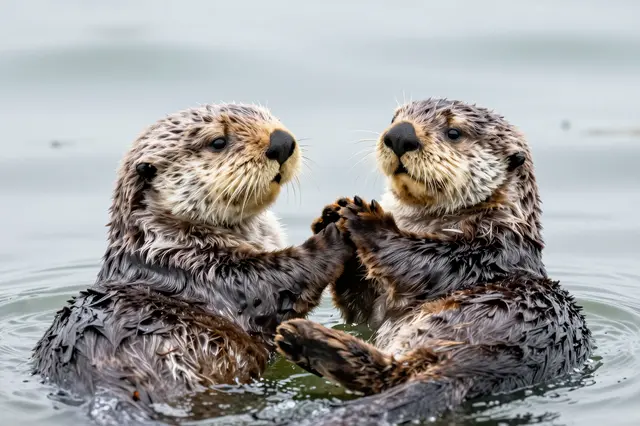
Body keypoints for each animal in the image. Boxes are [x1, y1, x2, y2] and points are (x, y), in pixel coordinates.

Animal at [31, 103, 352, 424]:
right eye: (218, 142)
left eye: (272, 118)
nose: (282, 142)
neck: (160, 240)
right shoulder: (206, 269)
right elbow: (276, 284)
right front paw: (333, 232)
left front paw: (333, 212)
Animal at [274, 98, 593, 425]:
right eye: (394, 119)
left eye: (454, 132)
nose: (400, 135)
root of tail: (478, 368)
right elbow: (364, 310)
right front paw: (332, 214)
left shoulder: (486, 253)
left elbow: (421, 258)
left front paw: (365, 219)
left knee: (392, 374)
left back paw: (306, 339)